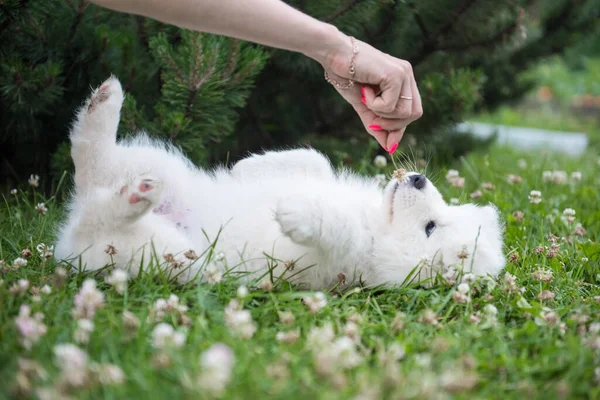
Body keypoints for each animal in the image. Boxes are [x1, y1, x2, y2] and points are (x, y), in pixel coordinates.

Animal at [55, 76, 506, 290]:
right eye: (442, 213)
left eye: (430, 227)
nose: (417, 177)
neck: (379, 221)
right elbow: (315, 160)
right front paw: (248, 167)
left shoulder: (352, 259)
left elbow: (340, 228)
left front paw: (296, 213)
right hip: (162, 169)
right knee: (92, 164)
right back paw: (104, 105)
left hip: (161, 253)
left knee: (96, 217)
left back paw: (133, 198)